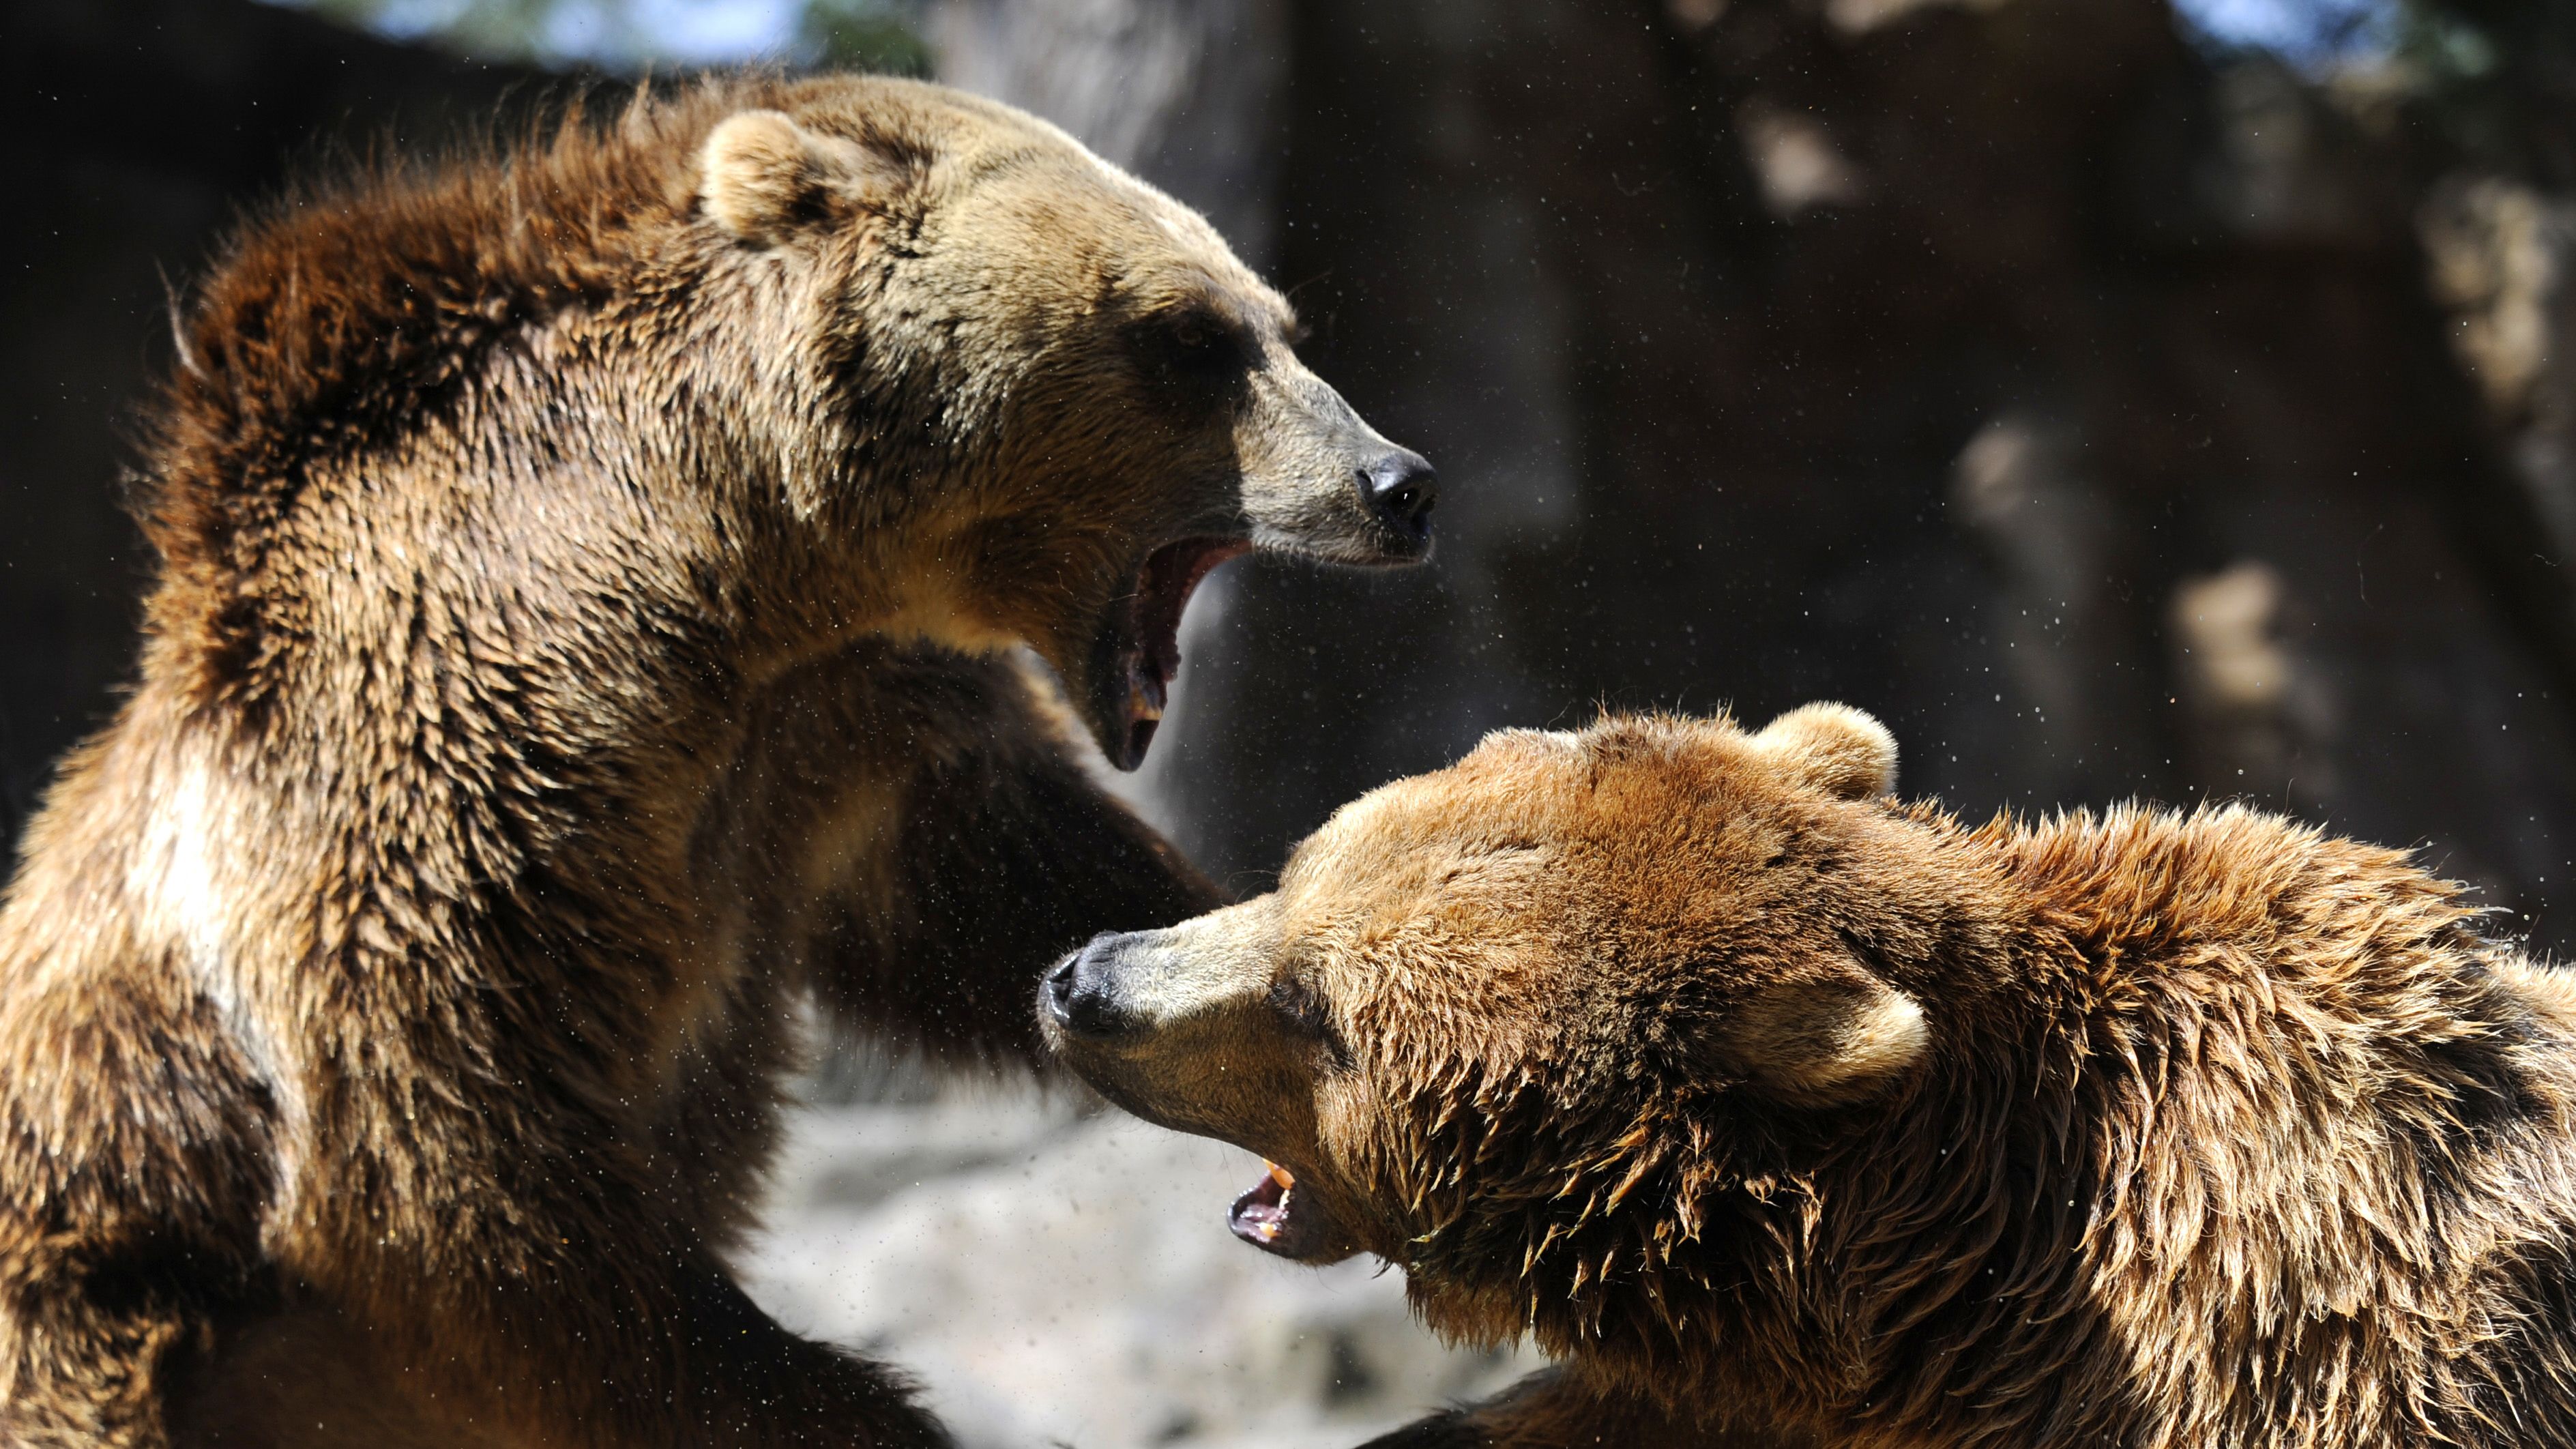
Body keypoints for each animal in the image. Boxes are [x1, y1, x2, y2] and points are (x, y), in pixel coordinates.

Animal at [0, 74, 1436, 1447]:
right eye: (1191, 336)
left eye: (1279, 321)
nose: (1400, 481)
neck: (723, 576)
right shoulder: (432, 775)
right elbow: (454, 1188)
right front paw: (856, 1409)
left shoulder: (852, 725)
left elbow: (993, 885)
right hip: (103, 1319)